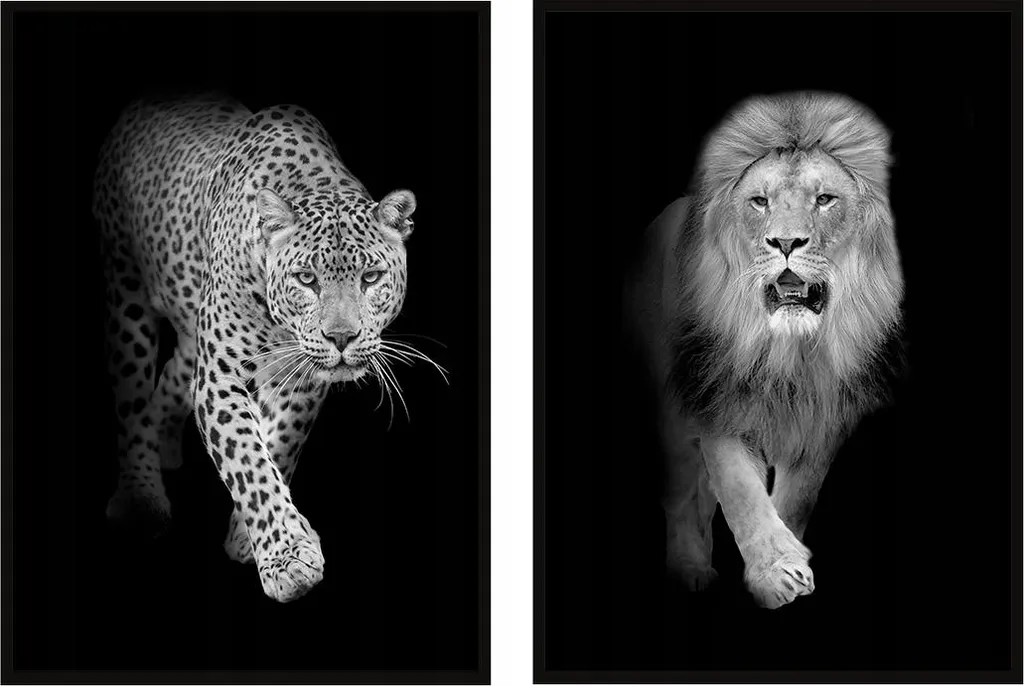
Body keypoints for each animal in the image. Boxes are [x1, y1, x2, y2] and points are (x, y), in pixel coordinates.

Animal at [627, 92, 904, 609]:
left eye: (824, 199)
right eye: (760, 201)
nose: (786, 242)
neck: (788, 352)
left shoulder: (821, 422)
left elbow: (793, 500)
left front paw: (787, 558)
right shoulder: (717, 402)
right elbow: (741, 494)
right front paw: (779, 574)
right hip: (669, 418)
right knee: (682, 496)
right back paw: (689, 569)